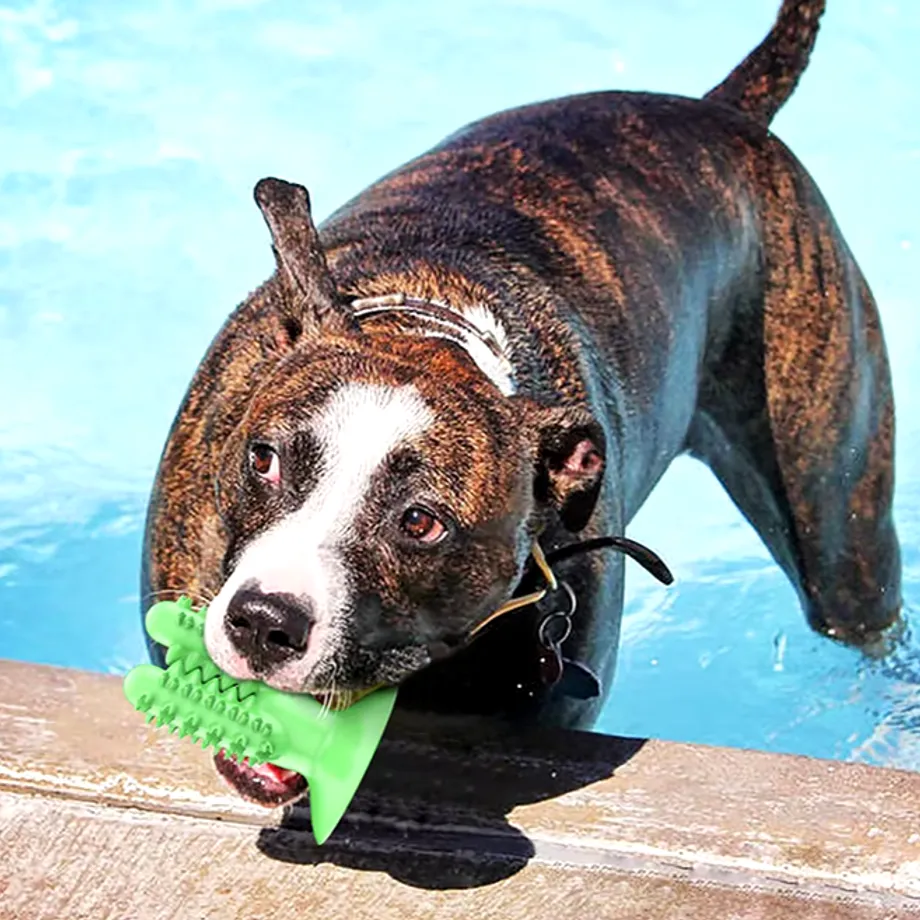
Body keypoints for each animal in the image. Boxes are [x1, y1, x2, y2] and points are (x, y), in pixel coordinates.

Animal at [142, 0, 900, 804]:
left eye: (421, 523)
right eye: (265, 459)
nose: (265, 620)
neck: (436, 326)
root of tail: (720, 110)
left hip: (840, 525)